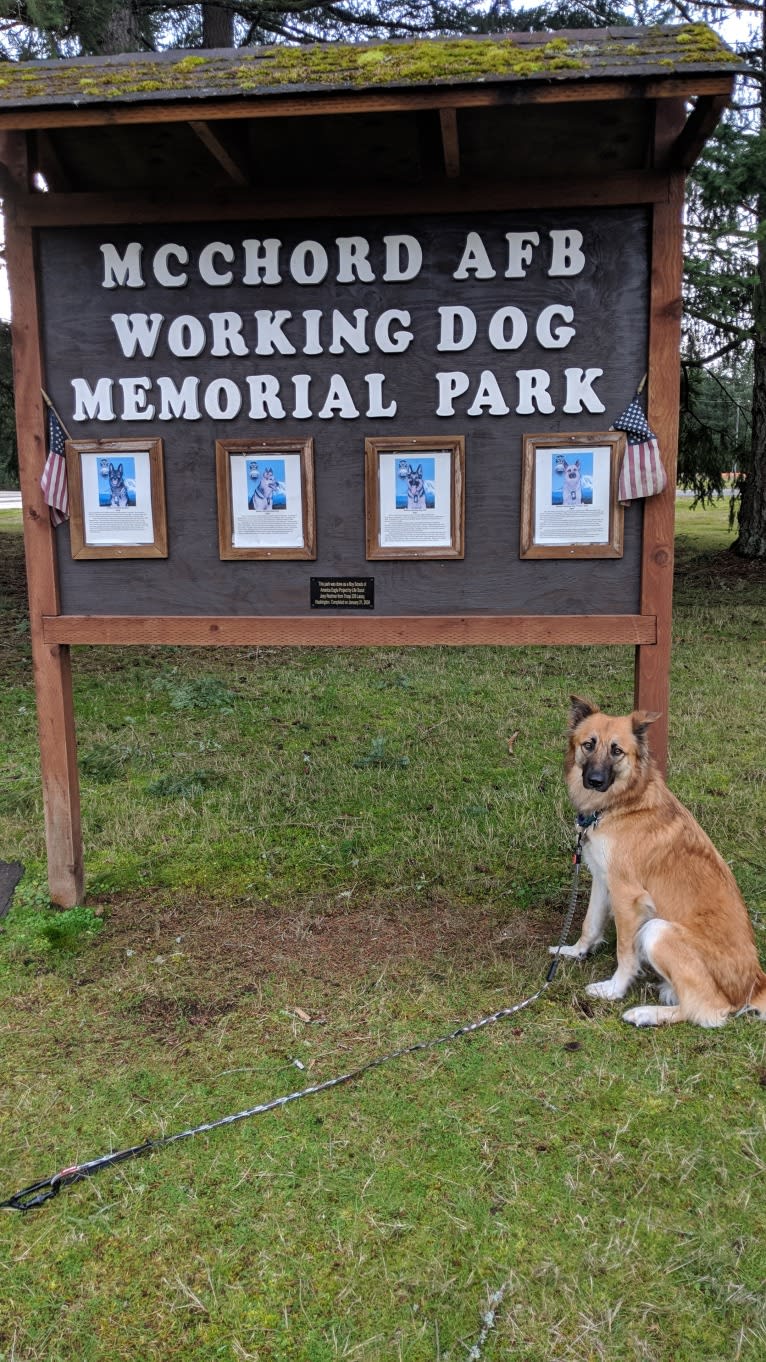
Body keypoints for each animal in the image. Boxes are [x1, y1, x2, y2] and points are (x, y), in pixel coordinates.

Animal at [547, 697, 763, 1024]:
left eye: (617, 750)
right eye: (589, 744)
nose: (594, 781)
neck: (623, 803)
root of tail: (755, 985)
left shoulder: (627, 895)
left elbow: (624, 951)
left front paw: (614, 989)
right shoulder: (602, 878)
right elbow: (589, 922)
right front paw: (575, 951)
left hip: (657, 930)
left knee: (707, 1010)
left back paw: (646, 1013)